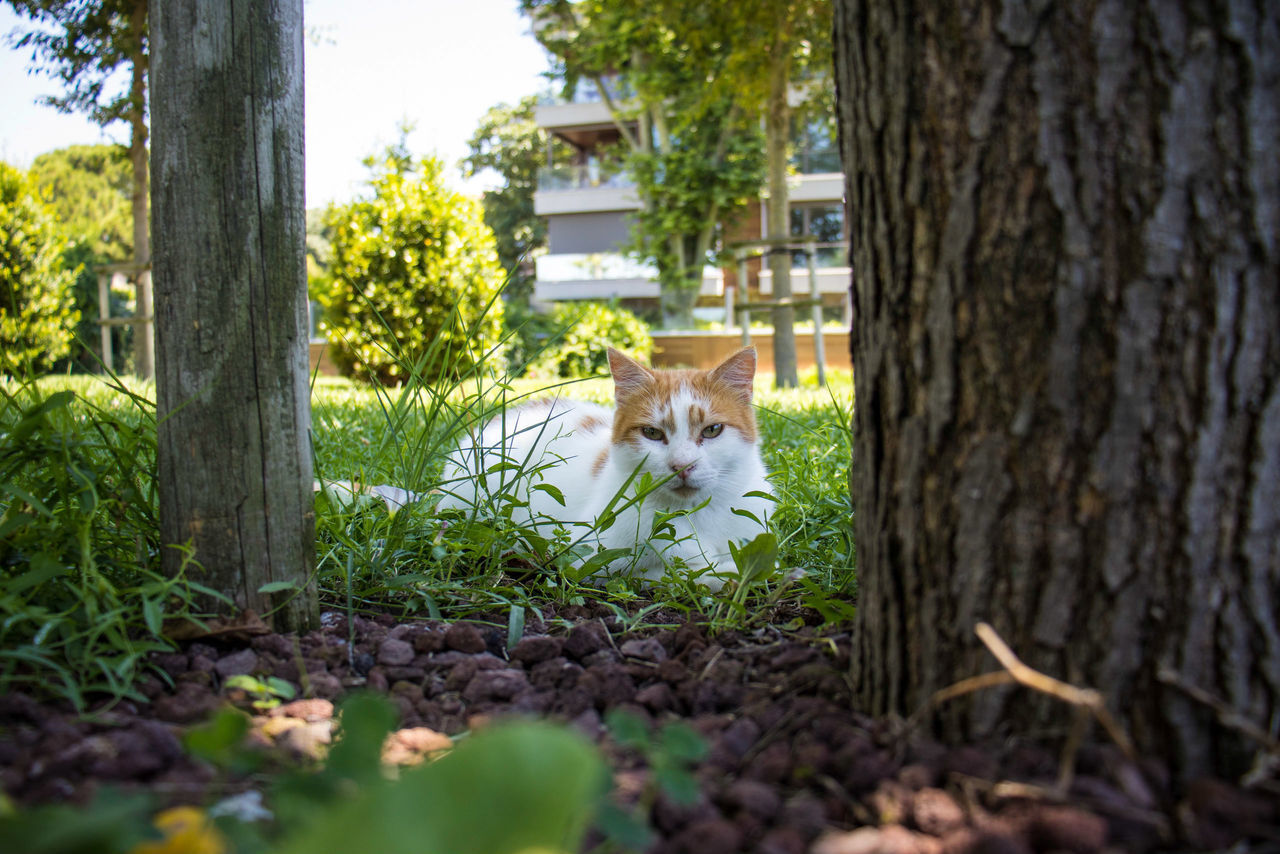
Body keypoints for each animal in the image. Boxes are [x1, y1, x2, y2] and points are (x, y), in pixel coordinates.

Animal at [435, 348, 773, 588]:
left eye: (712, 430)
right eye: (652, 433)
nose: (682, 466)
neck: (694, 513)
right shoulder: (583, 557)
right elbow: (664, 572)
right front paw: (716, 572)